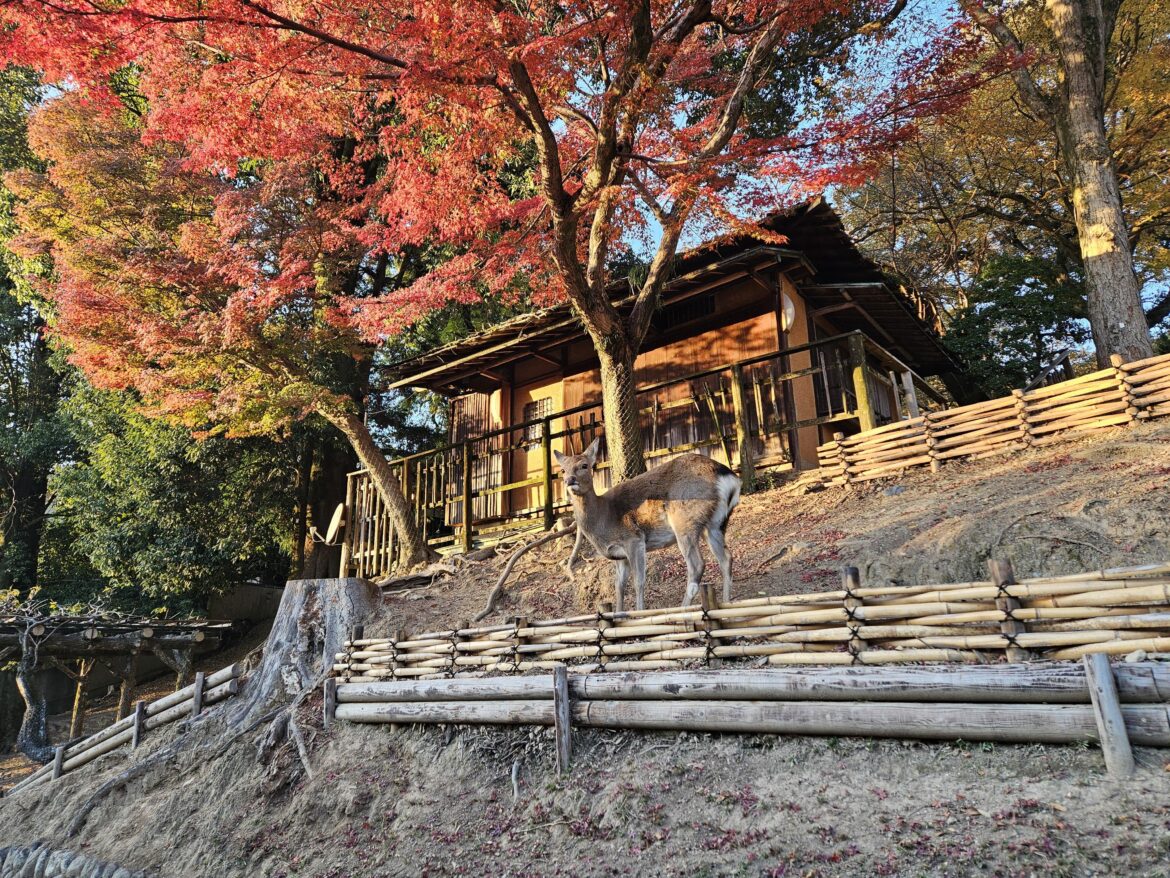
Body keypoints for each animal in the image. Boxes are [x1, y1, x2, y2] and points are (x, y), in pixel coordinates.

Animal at [555, 437, 741, 611]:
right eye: (563, 470)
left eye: (584, 465)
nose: (569, 480)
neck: (603, 518)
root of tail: (730, 478)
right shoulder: (619, 556)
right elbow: (618, 587)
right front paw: (617, 613)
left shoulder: (634, 539)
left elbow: (638, 582)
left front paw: (638, 612)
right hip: (715, 524)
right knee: (726, 559)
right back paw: (726, 604)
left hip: (685, 521)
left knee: (697, 565)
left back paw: (682, 610)